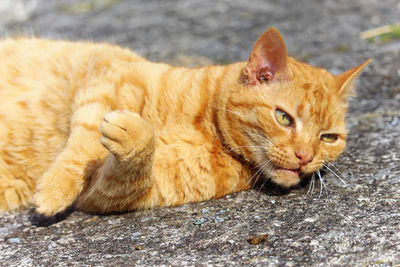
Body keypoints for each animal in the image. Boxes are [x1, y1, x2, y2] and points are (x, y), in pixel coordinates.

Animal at [0, 28, 368, 225]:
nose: (305, 156)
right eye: (284, 118)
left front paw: (137, 133)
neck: (208, 128)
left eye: (328, 137)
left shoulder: (108, 194)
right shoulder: (107, 76)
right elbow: (82, 144)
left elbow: (133, 162)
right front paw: (53, 193)